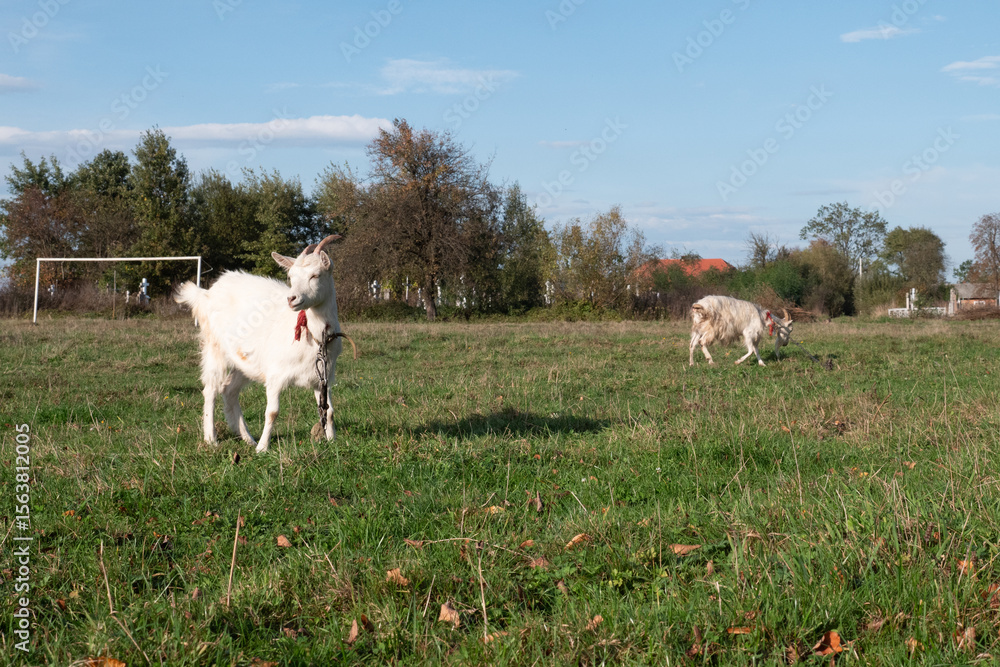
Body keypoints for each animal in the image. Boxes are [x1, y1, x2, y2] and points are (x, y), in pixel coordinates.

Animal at [175, 235, 345, 453]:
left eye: (316, 275)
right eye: (291, 276)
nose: (292, 299)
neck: (315, 338)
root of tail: (206, 294)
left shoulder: (323, 377)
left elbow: (329, 410)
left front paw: (332, 441)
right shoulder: (275, 375)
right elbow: (272, 412)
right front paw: (263, 448)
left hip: (245, 362)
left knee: (229, 390)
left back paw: (247, 438)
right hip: (215, 348)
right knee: (211, 389)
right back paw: (212, 438)